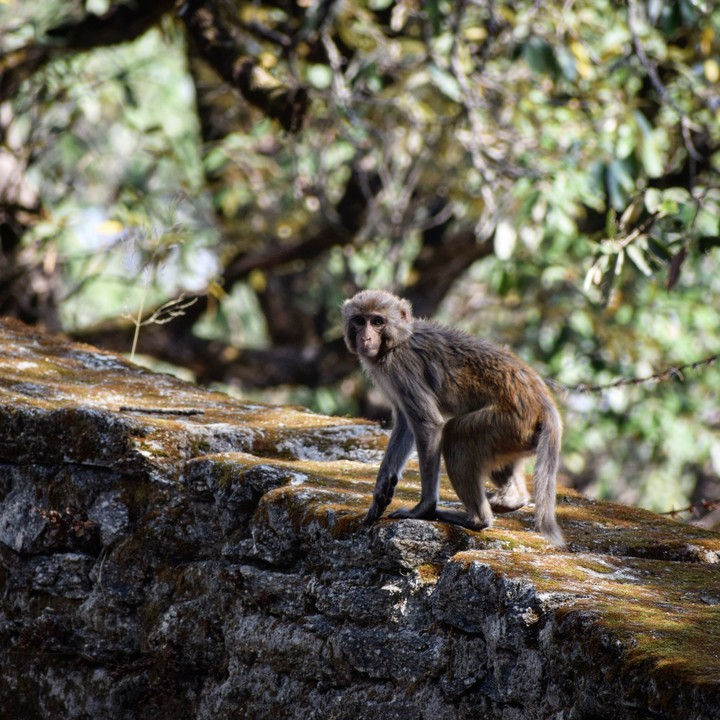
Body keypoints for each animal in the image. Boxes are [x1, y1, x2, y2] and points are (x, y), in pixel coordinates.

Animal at [342, 289, 564, 547]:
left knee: (456, 435)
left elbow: (427, 424)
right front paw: (381, 491)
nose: (366, 338)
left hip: (509, 423)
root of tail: (544, 403)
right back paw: (511, 500)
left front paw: (424, 508)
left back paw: (475, 519)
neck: (398, 341)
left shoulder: (400, 366)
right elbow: (406, 424)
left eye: (377, 321)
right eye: (360, 321)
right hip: (516, 437)